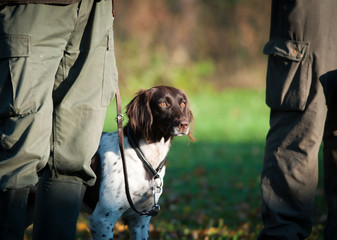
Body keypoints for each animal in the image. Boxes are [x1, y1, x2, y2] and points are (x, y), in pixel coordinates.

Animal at [82, 86, 194, 240]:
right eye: (163, 103)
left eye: (183, 103)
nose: (184, 124)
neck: (144, 157)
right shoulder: (102, 219)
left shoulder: (140, 219)